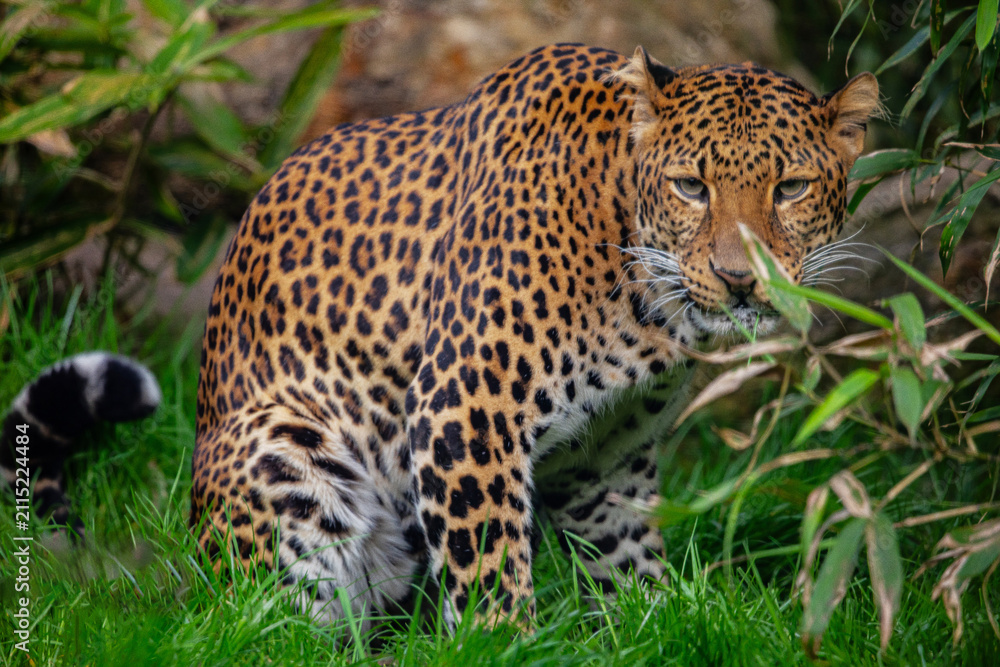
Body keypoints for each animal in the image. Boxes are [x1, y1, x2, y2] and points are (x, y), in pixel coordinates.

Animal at [3, 43, 880, 633]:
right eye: (691, 186)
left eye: (791, 187)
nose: (740, 279)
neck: (642, 292)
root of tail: (191, 563)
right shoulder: (466, 407)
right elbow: (492, 574)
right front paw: (510, 642)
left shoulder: (608, 457)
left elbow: (629, 564)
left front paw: (657, 626)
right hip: (283, 451)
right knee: (274, 627)